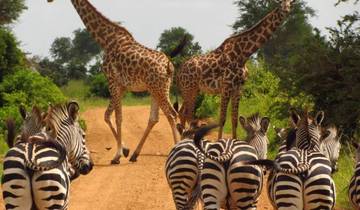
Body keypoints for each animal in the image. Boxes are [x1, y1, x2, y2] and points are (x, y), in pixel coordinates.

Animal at [47, 0, 186, 164]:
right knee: (155, 118)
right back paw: (135, 154)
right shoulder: (122, 86)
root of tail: (169, 65)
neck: (106, 40)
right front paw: (125, 150)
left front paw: (117, 155)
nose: (49, 1)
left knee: (172, 114)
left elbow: (116, 117)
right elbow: (109, 115)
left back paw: (176, 149)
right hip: (157, 88)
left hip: (159, 88)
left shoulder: (112, 81)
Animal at [176, 0, 294, 139]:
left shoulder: (238, 88)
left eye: (290, 3)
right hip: (189, 88)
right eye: (280, 4)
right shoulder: (226, 86)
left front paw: (234, 141)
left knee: (182, 112)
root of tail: (180, 70)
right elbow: (222, 119)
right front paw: (220, 141)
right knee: (188, 114)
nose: (286, 10)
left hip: (192, 89)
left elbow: (234, 119)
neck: (244, 54)